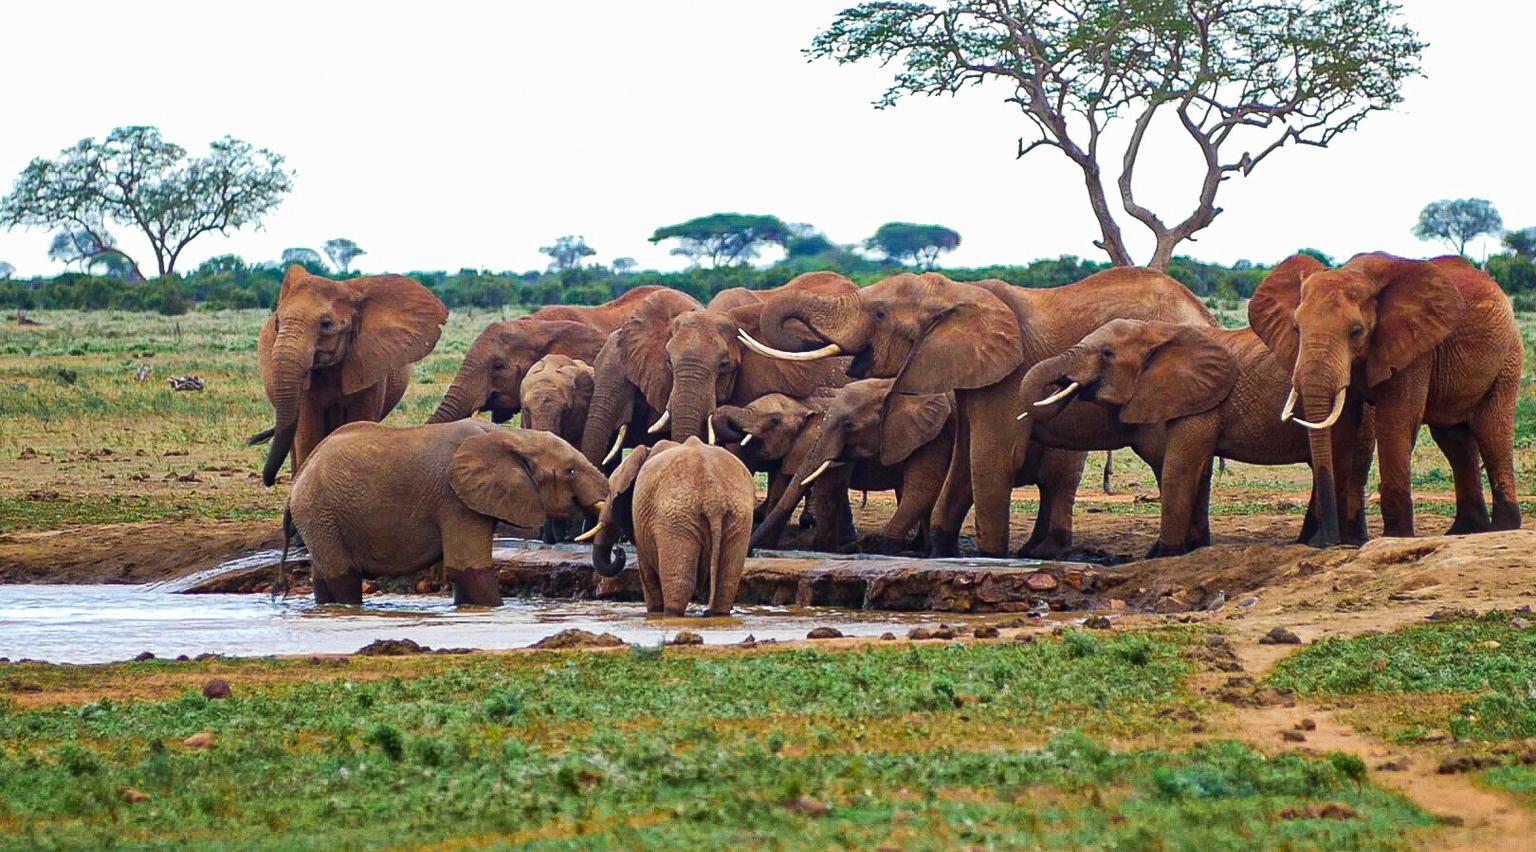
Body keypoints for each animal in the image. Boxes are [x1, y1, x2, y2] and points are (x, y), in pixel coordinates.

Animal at [284, 420, 609, 607]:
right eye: (570, 471)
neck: (512, 436)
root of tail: (299, 478)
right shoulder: (454, 499)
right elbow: (468, 569)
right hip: (320, 512)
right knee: (344, 578)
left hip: (319, 519)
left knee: (324, 578)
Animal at [580, 437, 755, 616]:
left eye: (610, 492)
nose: (618, 550)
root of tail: (713, 499)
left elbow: (647, 574)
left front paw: (654, 612)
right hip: (739, 517)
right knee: (726, 583)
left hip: (676, 520)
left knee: (679, 585)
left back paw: (671, 613)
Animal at [743, 379, 955, 553]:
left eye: (774, 420)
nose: (750, 553)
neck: (805, 404)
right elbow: (782, 491)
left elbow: (827, 491)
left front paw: (824, 551)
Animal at [1017, 319, 1319, 555]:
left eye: (1107, 353)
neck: (1160, 332)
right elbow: (1197, 469)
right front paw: (1194, 548)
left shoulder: (1203, 398)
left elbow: (1180, 468)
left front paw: (1163, 554)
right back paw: (1309, 540)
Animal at [1250, 252, 1523, 544]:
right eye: (1296, 329)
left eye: (1356, 331)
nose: (1327, 541)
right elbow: (1342, 428)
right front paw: (1348, 542)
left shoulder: (1413, 350)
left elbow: (1395, 422)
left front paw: (1397, 537)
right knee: (1455, 441)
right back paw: (1465, 530)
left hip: (1508, 357)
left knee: (1492, 432)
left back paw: (1501, 528)